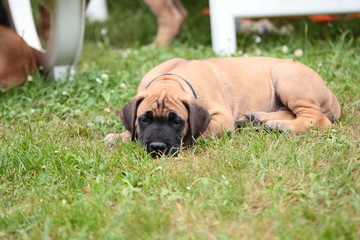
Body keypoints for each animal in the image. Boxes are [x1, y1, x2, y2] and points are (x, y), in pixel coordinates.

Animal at [105, 57, 342, 157]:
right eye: (144, 119)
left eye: (177, 121)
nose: (156, 147)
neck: (170, 80)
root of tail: (331, 93)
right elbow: (133, 132)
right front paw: (120, 136)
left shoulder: (221, 118)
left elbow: (199, 132)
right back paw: (256, 120)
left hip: (286, 76)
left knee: (316, 119)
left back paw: (278, 126)